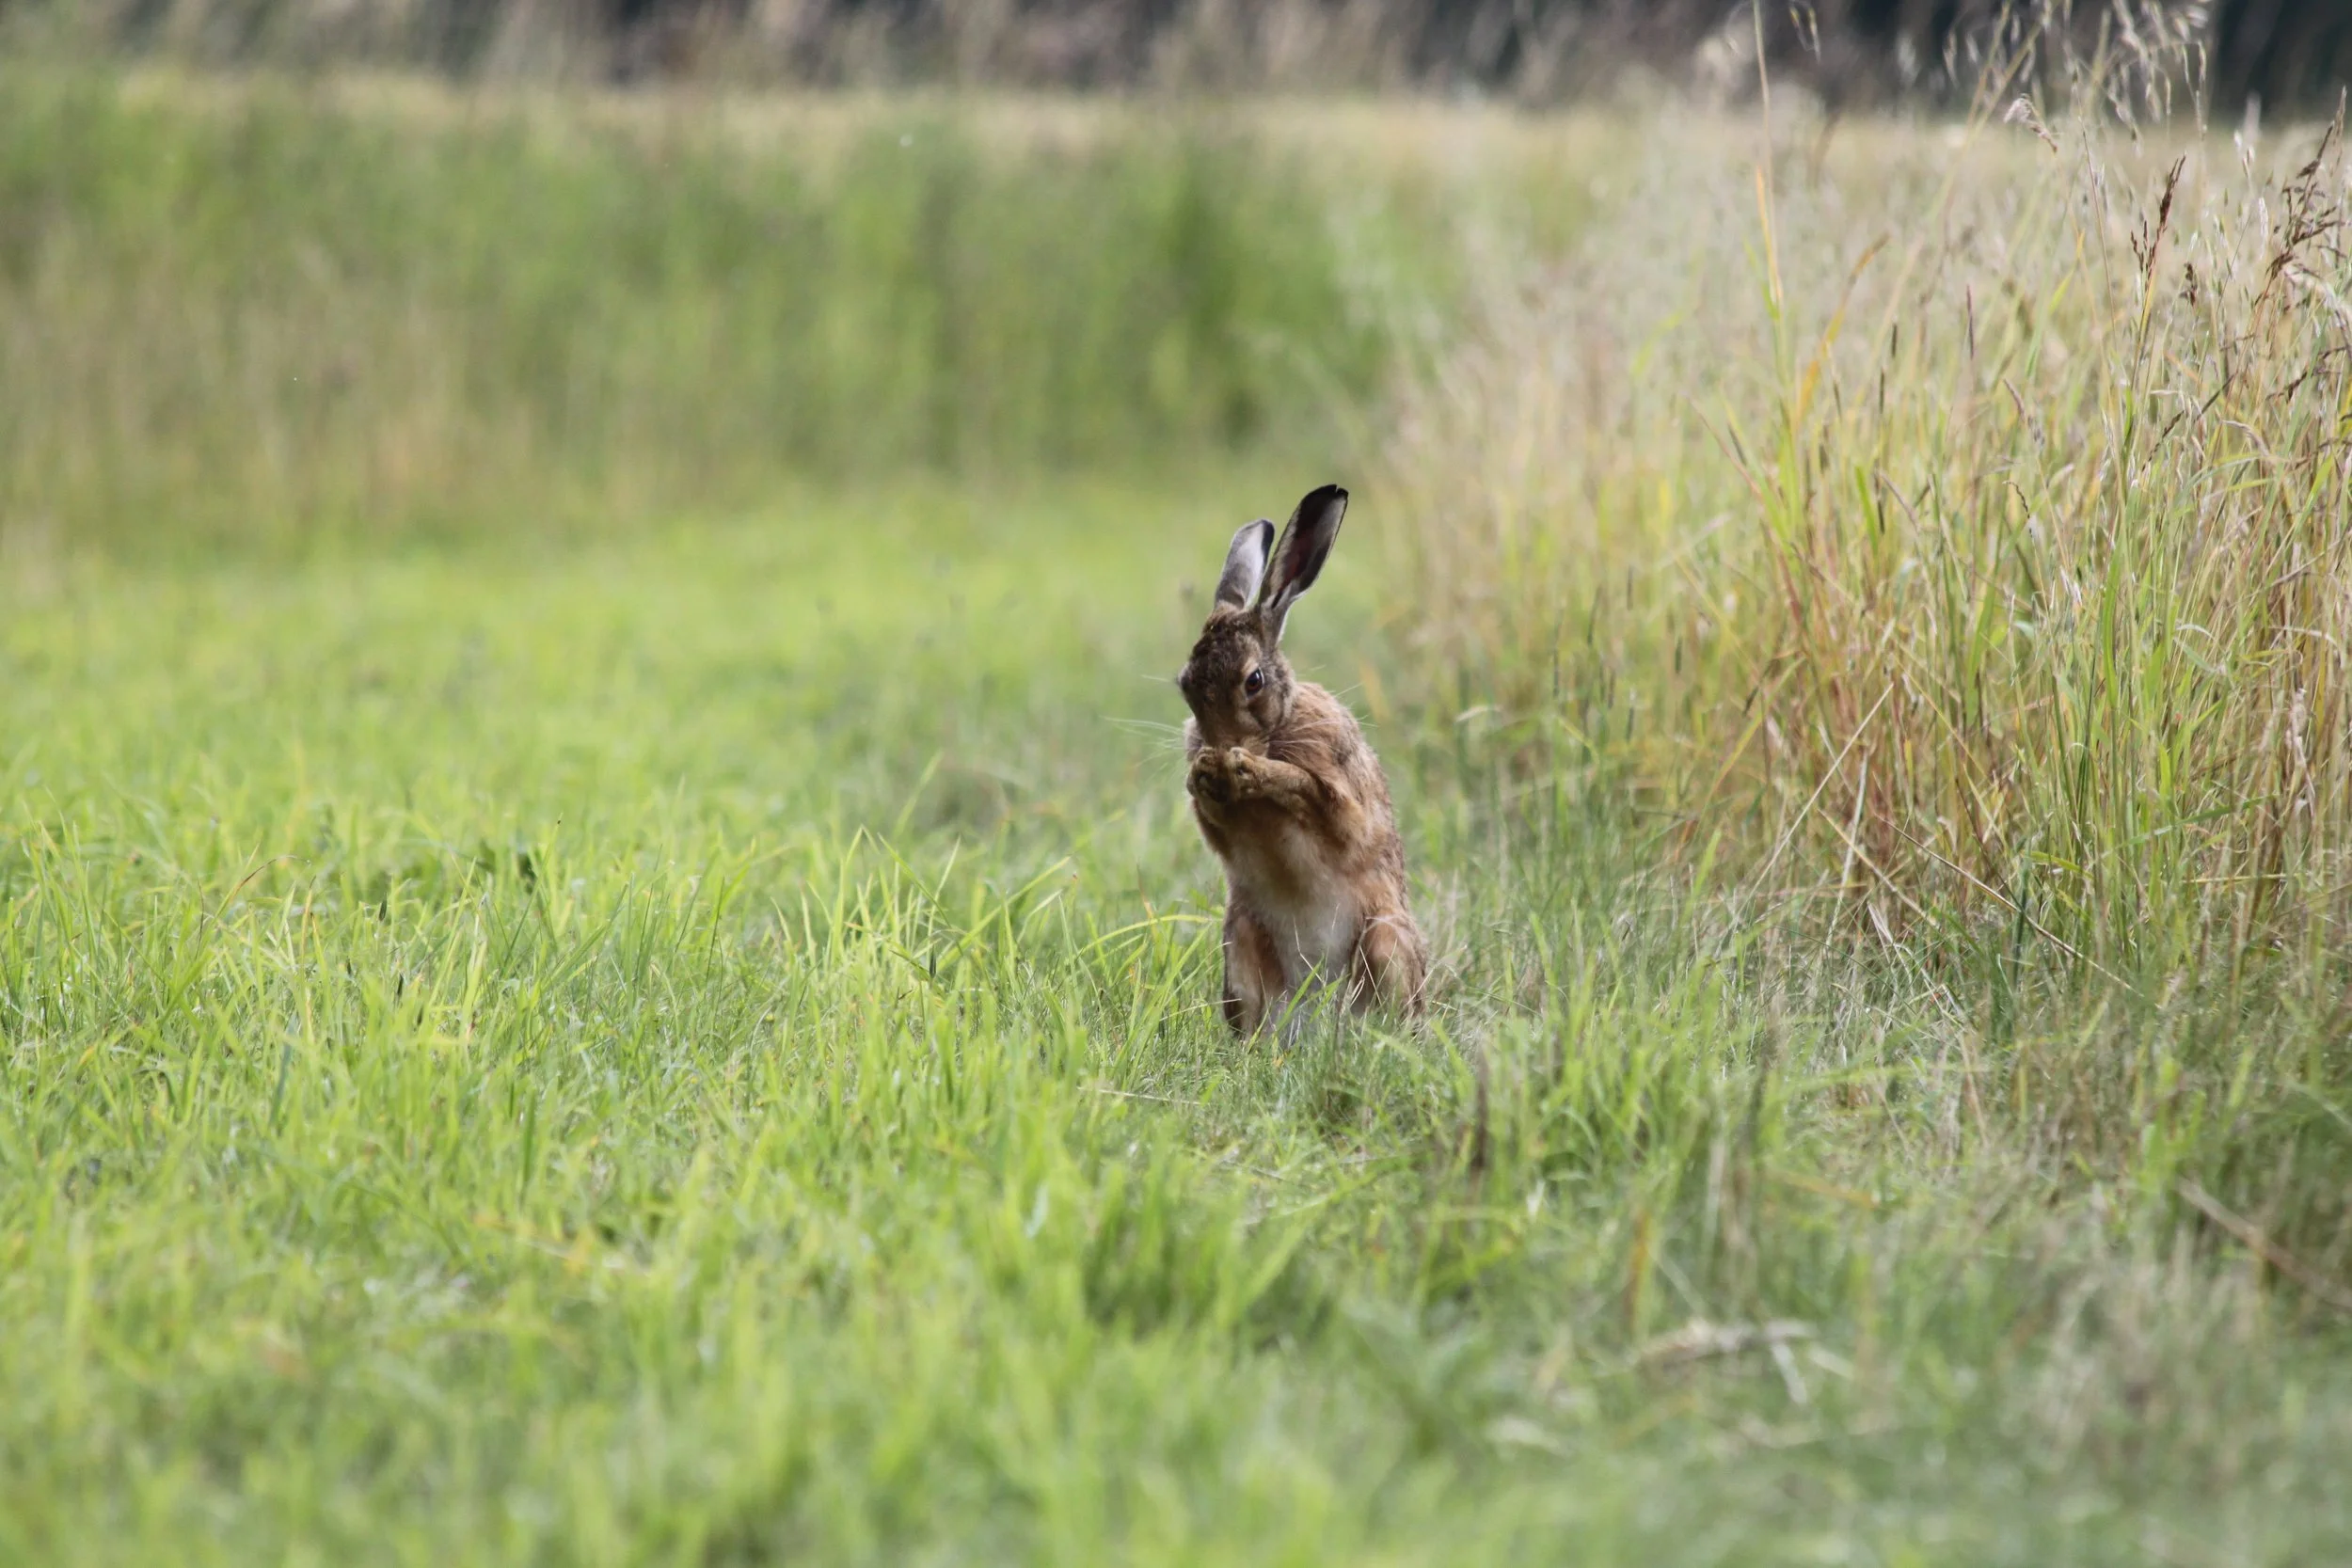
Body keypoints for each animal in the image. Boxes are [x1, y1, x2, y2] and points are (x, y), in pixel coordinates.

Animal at [1177, 483, 1427, 1038]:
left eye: (1253, 681)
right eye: (1184, 684)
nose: (1219, 747)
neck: (1275, 730)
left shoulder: (1341, 789)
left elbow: (1319, 798)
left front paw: (1252, 771)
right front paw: (1207, 774)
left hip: (1385, 938)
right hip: (1239, 940)